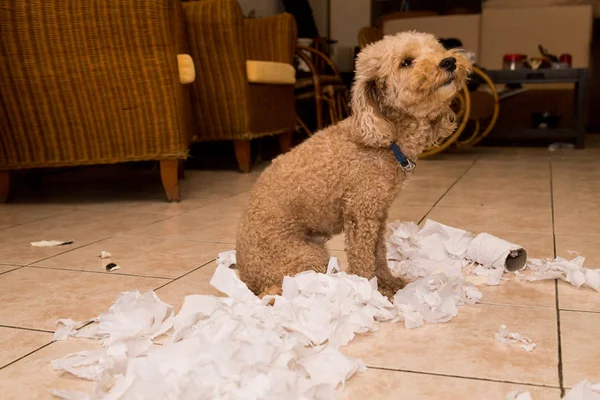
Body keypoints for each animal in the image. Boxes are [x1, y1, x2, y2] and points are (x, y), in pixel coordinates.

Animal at [237, 32, 472, 298]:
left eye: (436, 49)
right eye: (406, 62)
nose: (449, 61)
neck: (386, 137)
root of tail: (248, 278)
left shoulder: (378, 216)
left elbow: (379, 255)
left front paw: (388, 283)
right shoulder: (361, 215)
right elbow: (363, 261)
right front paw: (368, 290)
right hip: (307, 256)